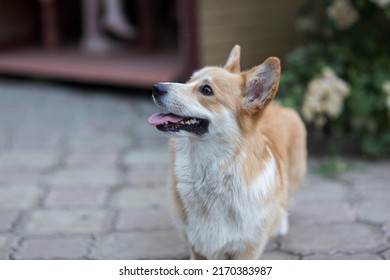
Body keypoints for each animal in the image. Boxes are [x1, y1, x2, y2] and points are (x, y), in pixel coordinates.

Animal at [148, 44, 306, 260]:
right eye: (189, 79)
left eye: (207, 90)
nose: (155, 87)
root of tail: (280, 105)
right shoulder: (197, 247)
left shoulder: (247, 249)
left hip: (296, 175)